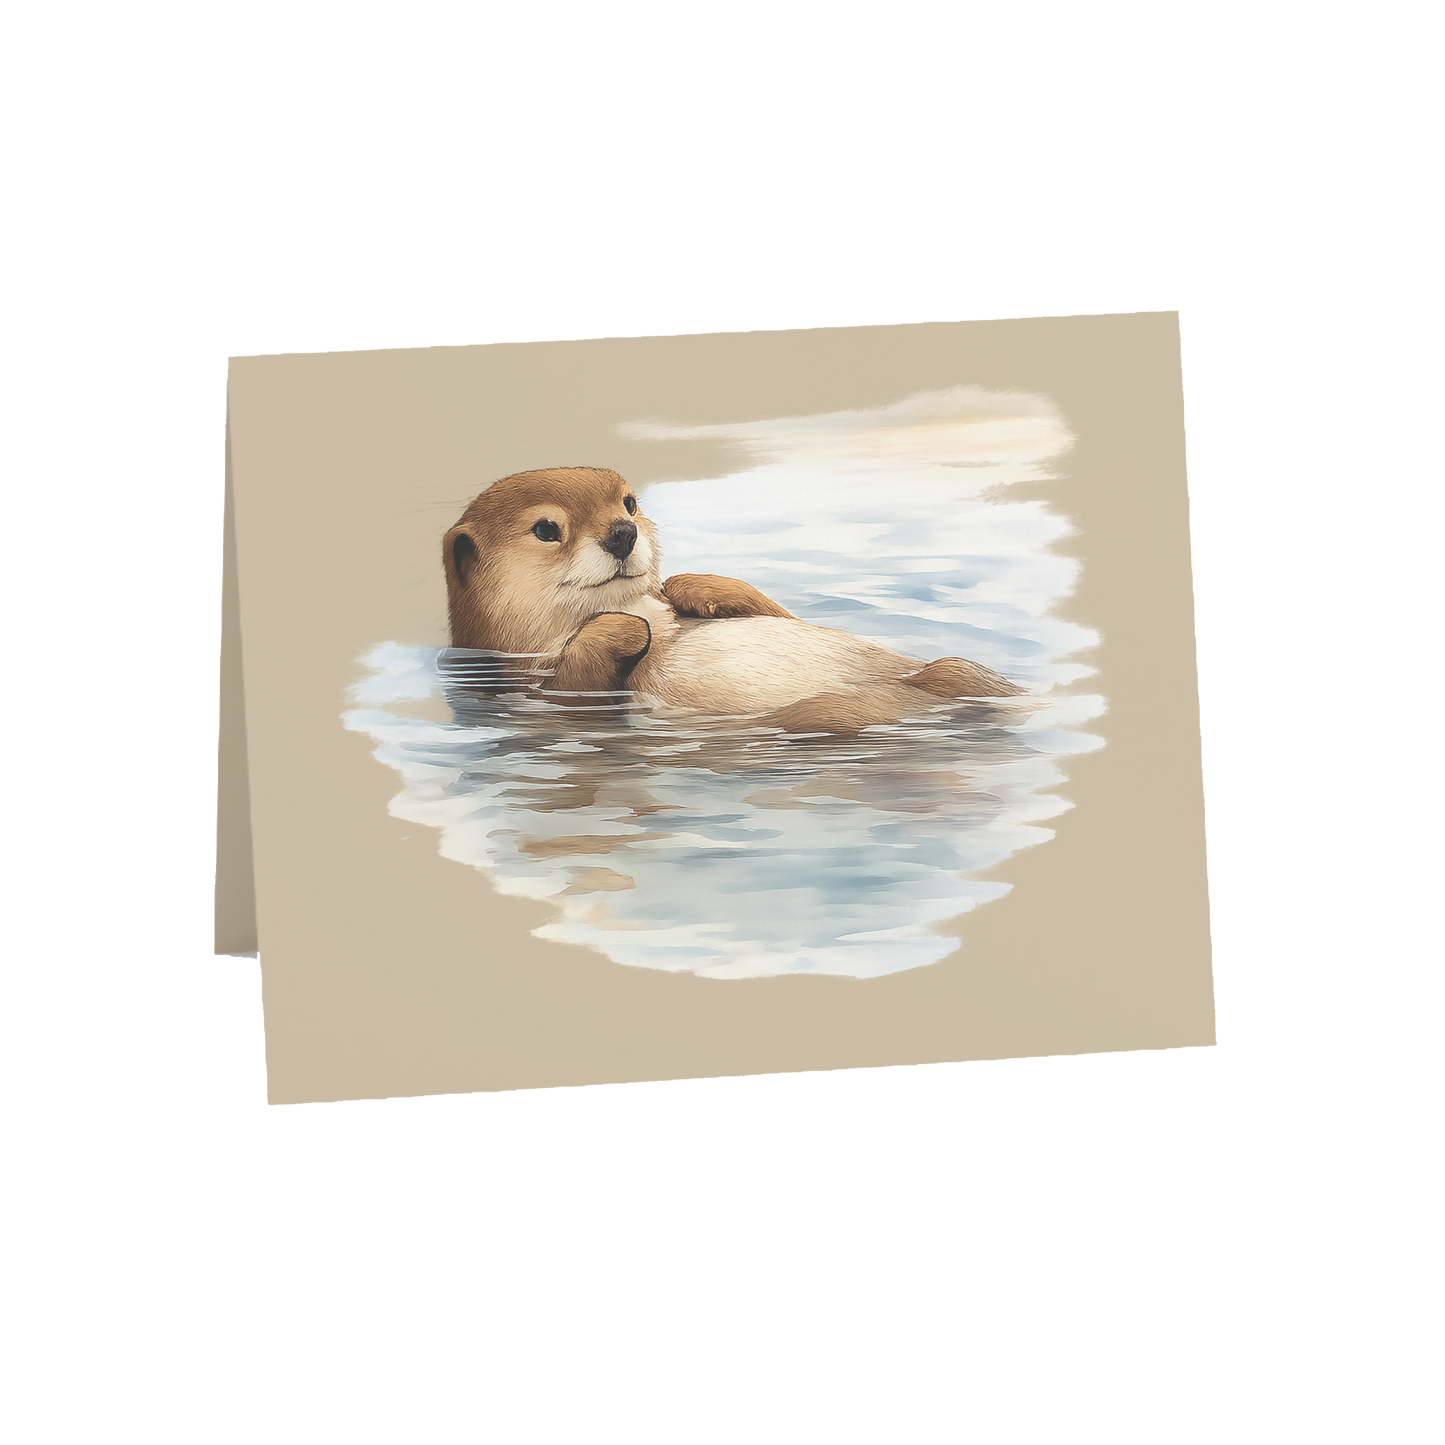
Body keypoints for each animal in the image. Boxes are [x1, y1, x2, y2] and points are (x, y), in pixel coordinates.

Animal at [442, 467, 1025, 733]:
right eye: (546, 528)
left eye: (629, 502)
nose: (623, 533)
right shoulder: (526, 682)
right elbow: (577, 688)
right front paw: (621, 629)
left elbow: (770, 607)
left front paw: (691, 588)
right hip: (826, 711)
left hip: (950, 670)